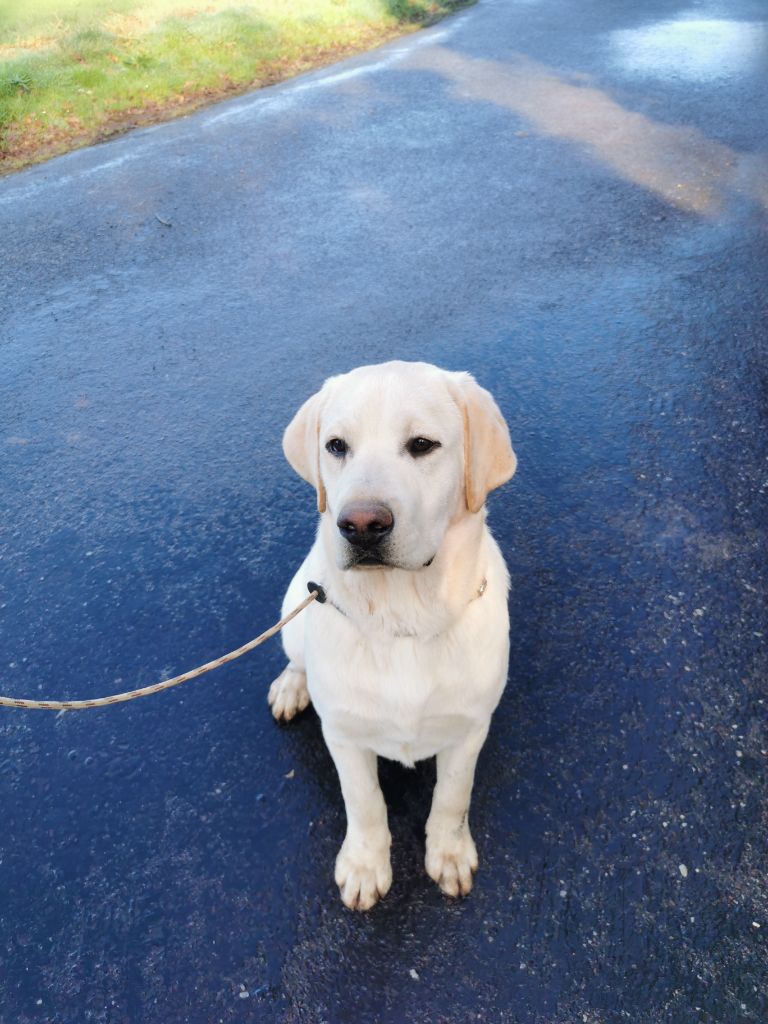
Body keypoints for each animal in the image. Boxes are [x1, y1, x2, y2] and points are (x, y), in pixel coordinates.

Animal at [268, 362, 518, 913]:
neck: (403, 619)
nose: (361, 525)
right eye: (336, 446)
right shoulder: (343, 734)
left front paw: (448, 853)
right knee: (296, 657)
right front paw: (365, 865)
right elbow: (364, 802)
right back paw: (292, 687)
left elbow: (453, 797)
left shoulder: (471, 729)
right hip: (295, 606)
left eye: (422, 444)